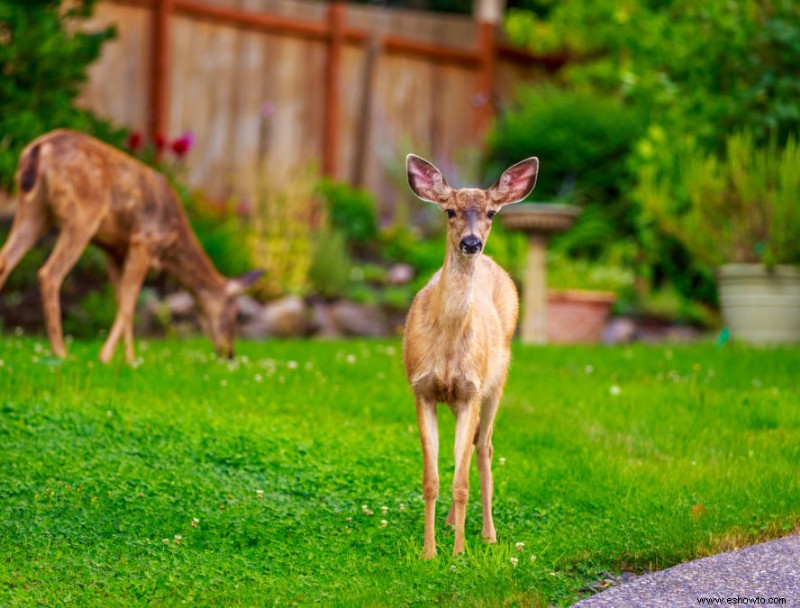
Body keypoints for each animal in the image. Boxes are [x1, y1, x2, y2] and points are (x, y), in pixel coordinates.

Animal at [0, 129, 262, 360]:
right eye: (236, 314)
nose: (229, 354)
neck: (173, 242)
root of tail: (40, 148)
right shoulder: (143, 242)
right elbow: (129, 303)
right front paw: (107, 357)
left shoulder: (114, 250)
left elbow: (121, 300)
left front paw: (128, 359)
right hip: (83, 213)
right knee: (49, 273)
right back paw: (61, 353)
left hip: (34, 209)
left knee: (5, 260)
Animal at [404, 154, 540, 560]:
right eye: (449, 211)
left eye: (491, 212)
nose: (471, 242)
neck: (447, 344)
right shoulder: (423, 389)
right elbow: (432, 479)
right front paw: (429, 551)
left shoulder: (471, 390)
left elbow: (461, 481)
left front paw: (459, 553)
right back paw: (451, 524)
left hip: (495, 381)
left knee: (485, 446)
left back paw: (488, 534)